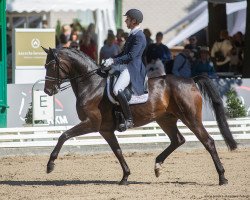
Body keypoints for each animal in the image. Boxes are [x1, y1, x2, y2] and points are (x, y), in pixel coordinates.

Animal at [42, 47, 236, 185]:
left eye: (50, 66)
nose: (47, 91)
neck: (92, 85)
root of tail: (190, 80)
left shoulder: (91, 123)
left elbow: (64, 135)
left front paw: (50, 165)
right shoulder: (105, 130)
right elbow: (118, 151)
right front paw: (125, 177)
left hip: (191, 118)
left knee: (208, 142)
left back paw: (222, 178)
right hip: (165, 119)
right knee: (178, 140)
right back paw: (157, 166)